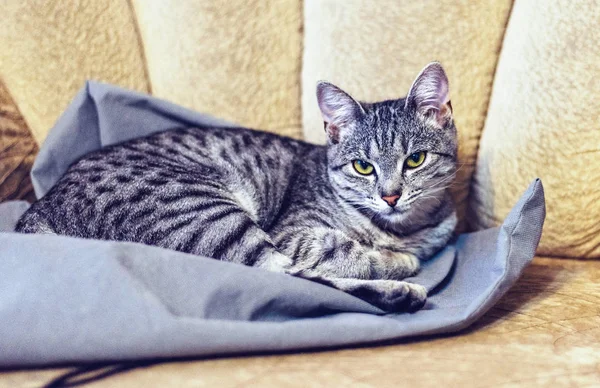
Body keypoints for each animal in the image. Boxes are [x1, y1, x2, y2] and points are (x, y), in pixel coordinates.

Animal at [17, 63, 460, 312]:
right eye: (363, 166)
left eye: (415, 160)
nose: (390, 195)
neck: (403, 229)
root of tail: (40, 208)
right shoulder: (295, 234)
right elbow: (347, 249)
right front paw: (397, 258)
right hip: (208, 211)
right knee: (290, 277)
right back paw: (400, 292)